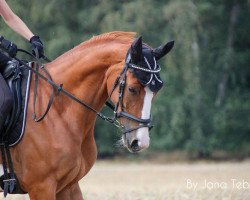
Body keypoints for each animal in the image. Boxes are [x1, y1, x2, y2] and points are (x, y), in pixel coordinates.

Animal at [0, 31, 173, 198]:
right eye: (132, 89)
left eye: (156, 91)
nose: (140, 142)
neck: (57, 109)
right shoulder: (41, 186)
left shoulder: (68, 186)